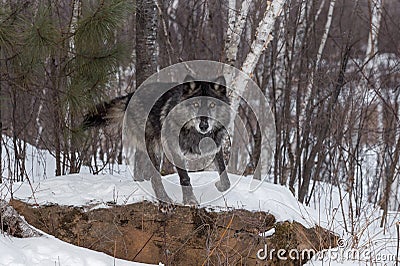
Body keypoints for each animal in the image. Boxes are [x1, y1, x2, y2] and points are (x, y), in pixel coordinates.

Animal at [84, 76, 231, 205]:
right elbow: (185, 178)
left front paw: (219, 185)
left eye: (212, 105)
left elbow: (225, 178)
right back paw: (164, 198)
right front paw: (190, 201)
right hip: (155, 149)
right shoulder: (175, 151)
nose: (204, 126)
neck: (196, 134)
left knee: (139, 162)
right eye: (195, 104)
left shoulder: (216, 147)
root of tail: (132, 95)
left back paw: (140, 183)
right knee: (155, 177)